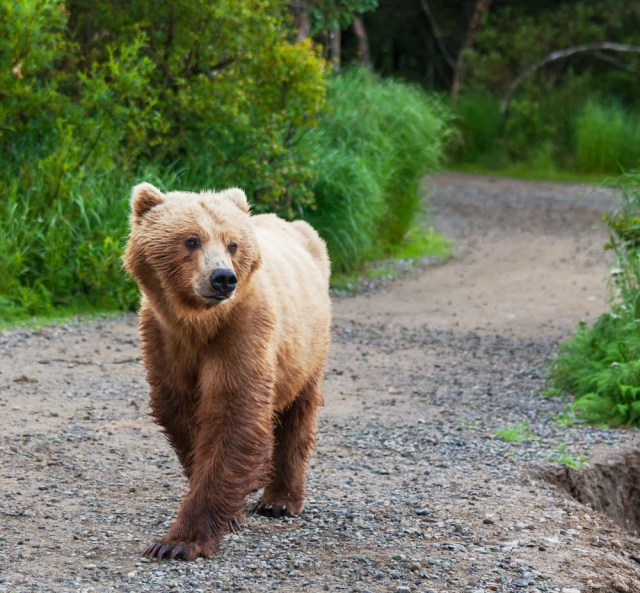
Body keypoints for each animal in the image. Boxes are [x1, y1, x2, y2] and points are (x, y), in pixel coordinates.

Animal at [122, 182, 330, 560]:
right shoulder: (163, 340)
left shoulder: (242, 331)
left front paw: (177, 542)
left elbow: (233, 414)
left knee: (298, 414)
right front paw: (226, 512)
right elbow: (181, 414)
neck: (198, 323)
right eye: (191, 239)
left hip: (306, 350)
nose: (222, 278)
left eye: (232, 243)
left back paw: (280, 500)